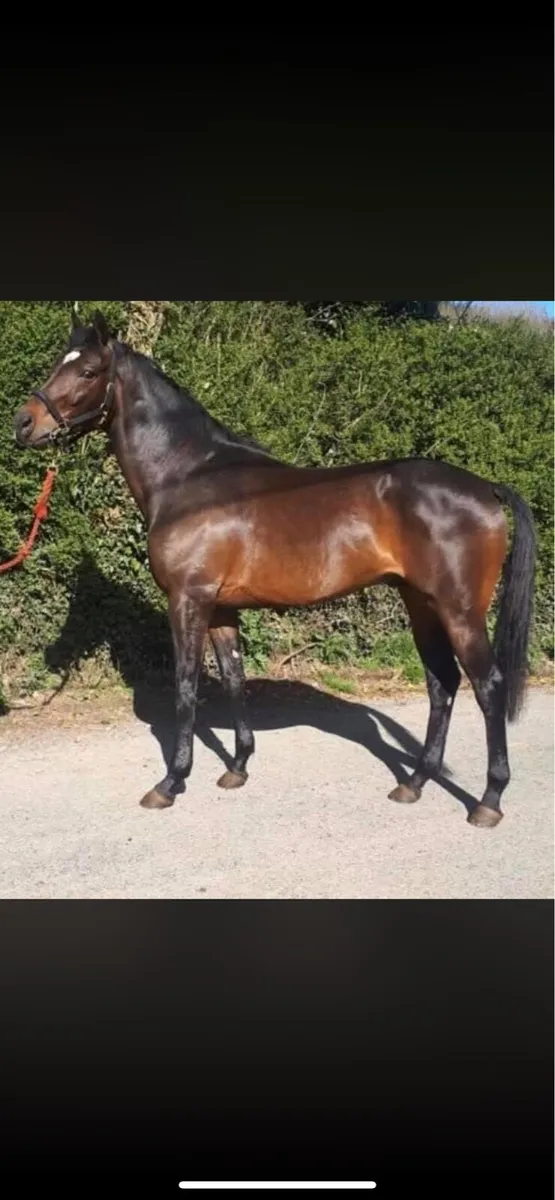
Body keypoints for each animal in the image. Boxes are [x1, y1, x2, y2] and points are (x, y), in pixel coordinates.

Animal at [13, 309, 536, 829]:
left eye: (87, 371)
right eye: (59, 361)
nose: (23, 423)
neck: (187, 477)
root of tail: (486, 487)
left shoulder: (188, 599)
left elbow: (186, 686)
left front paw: (171, 782)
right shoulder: (221, 609)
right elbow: (234, 680)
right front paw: (238, 768)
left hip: (459, 611)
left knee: (487, 686)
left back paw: (489, 800)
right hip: (421, 605)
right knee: (441, 683)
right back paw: (414, 783)